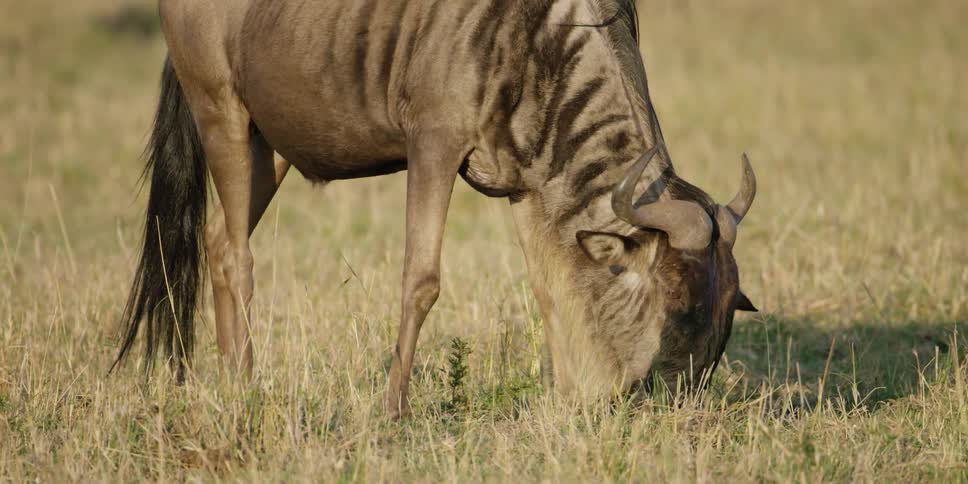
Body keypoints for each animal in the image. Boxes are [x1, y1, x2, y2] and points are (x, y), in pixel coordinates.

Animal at [113, 0, 759, 418]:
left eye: (729, 310)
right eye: (677, 308)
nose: (681, 409)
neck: (537, 39)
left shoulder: (527, 181)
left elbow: (549, 289)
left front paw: (566, 403)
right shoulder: (434, 143)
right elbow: (420, 279)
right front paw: (392, 413)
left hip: (266, 146)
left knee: (221, 240)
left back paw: (229, 381)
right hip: (220, 111)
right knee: (237, 257)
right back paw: (244, 388)